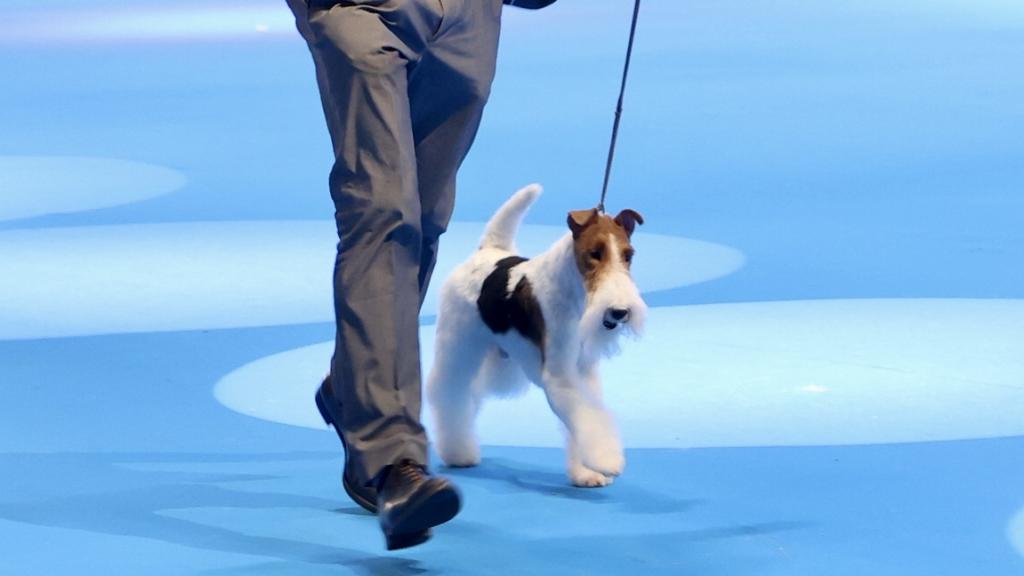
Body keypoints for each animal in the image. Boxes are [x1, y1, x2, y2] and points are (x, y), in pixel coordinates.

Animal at [428, 183, 643, 483]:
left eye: (628, 255)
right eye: (595, 253)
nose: (619, 311)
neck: (573, 293)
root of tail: (487, 252)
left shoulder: (583, 371)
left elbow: (586, 418)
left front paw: (586, 474)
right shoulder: (560, 375)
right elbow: (588, 418)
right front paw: (607, 460)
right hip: (459, 345)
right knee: (449, 393)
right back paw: (458, 453)